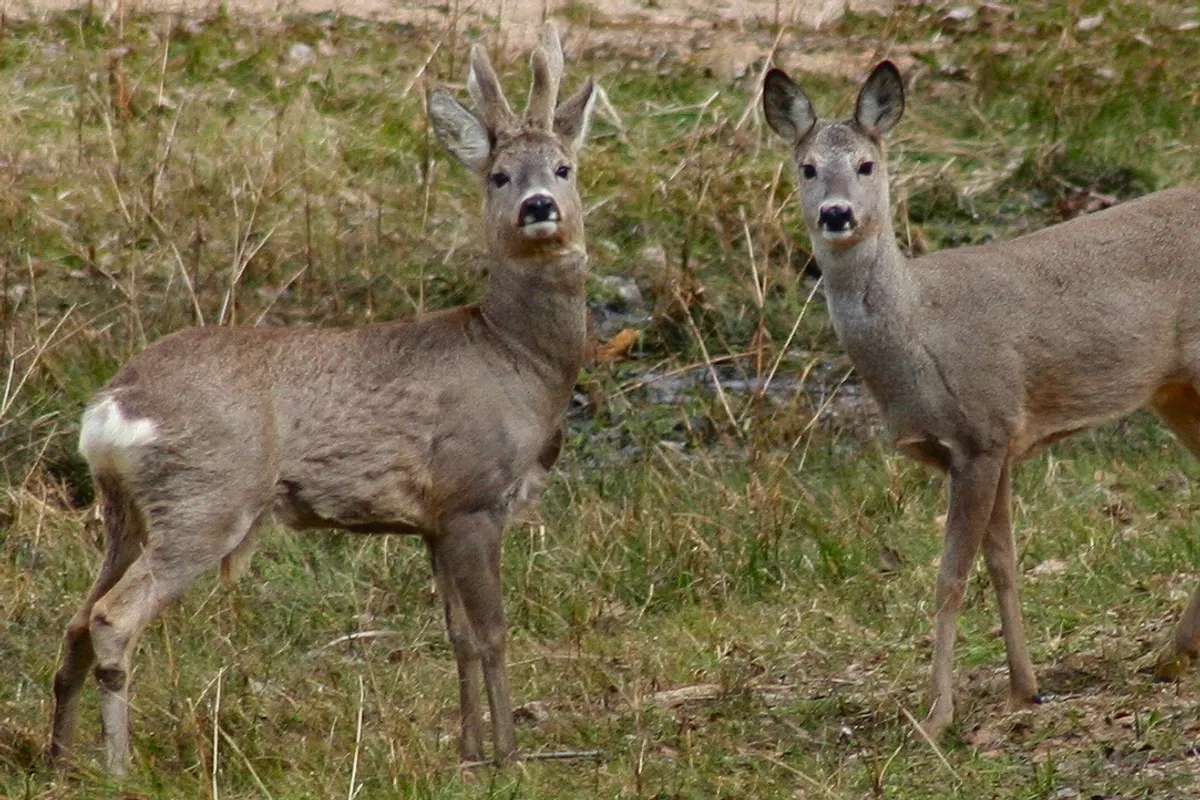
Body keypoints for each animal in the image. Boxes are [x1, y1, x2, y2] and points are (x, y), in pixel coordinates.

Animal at [49, 22, 597, 774]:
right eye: (499, 175)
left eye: (564, 168)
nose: (538, 207)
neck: (516, 359)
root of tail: (111, 407)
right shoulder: (473, 496)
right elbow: (492, 633)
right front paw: (507, 758)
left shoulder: (433, 520)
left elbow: (455, 635)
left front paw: (467, 751)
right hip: (206, 496)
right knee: (110, 617)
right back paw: (118, 767)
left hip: (125, 512)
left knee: (76, 618)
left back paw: (56, 761)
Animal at [763, 60, 1200, 737]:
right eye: (807, 167)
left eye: (866, 164)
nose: (836, 214)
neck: (918, 332)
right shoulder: (995, 443)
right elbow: (1002, 562)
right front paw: (1024, 689)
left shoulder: (981, 432)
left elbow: (951, 576)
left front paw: (937, 713)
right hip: (1174, 390)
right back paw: (1172, 655)